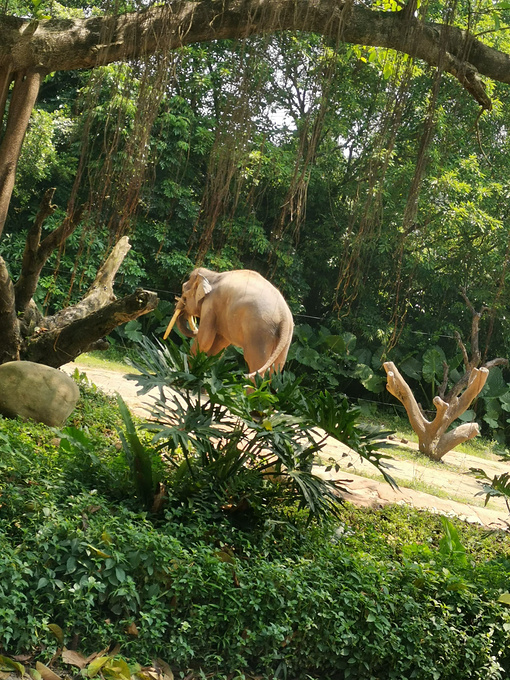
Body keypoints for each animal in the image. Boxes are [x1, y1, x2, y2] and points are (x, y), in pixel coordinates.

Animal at [163, 268, 294, 380]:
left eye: (183, 292)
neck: (212, 275)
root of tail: (284, 317)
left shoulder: (210, 305)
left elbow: (204, 341)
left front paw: (188, 374)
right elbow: (217, 347)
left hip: (259, 333)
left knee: (256, 366)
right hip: (285, 339)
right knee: (276, 370)